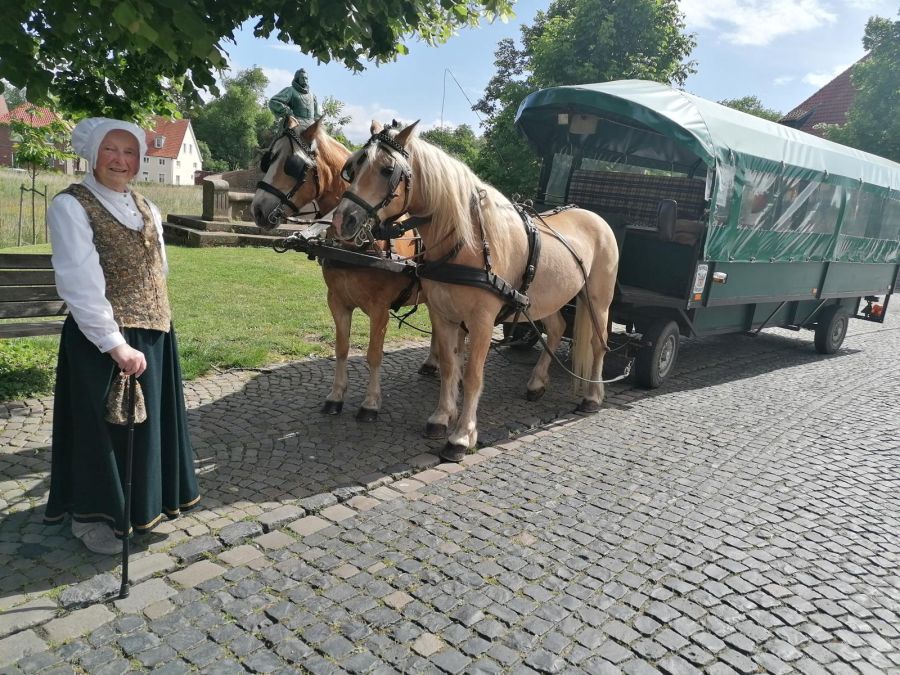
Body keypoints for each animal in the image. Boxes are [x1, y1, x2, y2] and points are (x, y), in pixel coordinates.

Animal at [251, 118, 438, 420]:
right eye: (268, 159)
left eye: (292, 165)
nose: (257, 209)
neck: (355, 246)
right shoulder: (337, 301)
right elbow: (341, 348)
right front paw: (336, 396)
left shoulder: (379, 308)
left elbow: (374, 354)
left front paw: (370, 402)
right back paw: (433, 363)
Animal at [330, 120, 620, 460]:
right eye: (352, 168)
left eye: (387, 170)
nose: (342, 220)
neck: (467, 242)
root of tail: (596, 217)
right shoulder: (443, 315)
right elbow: (449, 366)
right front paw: (442, 417)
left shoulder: (481, 321)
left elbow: (472, 376)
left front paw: (462, 436)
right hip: (544, 301)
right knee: (558, 327)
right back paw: (537, 382)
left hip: (597, 300)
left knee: (598, 344)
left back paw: (593, 396)